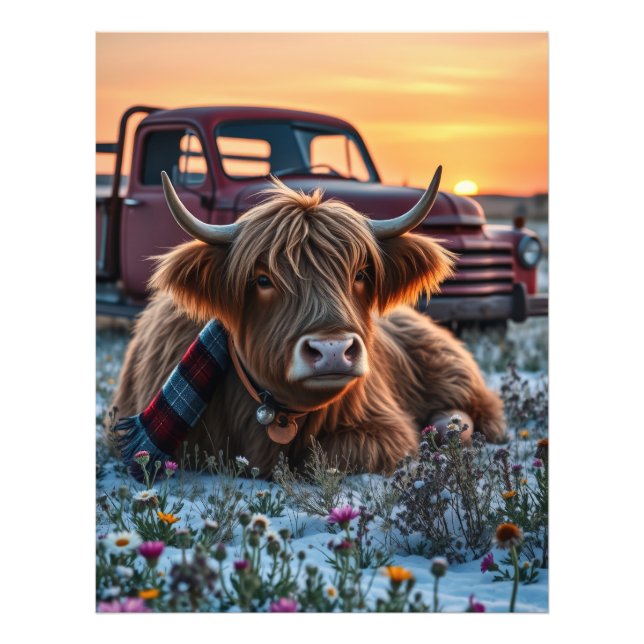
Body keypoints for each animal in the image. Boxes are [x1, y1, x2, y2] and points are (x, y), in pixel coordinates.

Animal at [111, 167, 505, 478]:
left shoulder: (386, 429)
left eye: (360, 274)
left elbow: (325, 457)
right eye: (263, 279)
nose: (332, 349)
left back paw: (446, 426)